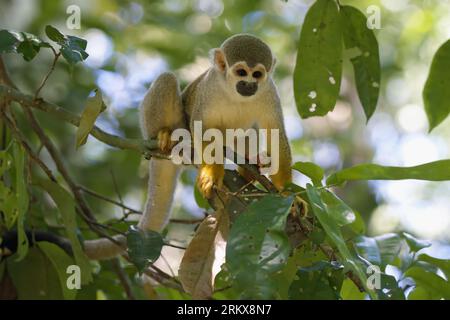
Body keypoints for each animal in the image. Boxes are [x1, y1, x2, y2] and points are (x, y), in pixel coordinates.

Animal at [142, 33, 294, 231]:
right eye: (241, 72)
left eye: (257, 75)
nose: (249, 85)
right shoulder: (210, 86)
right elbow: (202, 126)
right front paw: (212, 174)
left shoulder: (269, 91)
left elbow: (276, 134)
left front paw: (289, 195)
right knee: (167, 80)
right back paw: (166, 136)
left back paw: (249, 169)